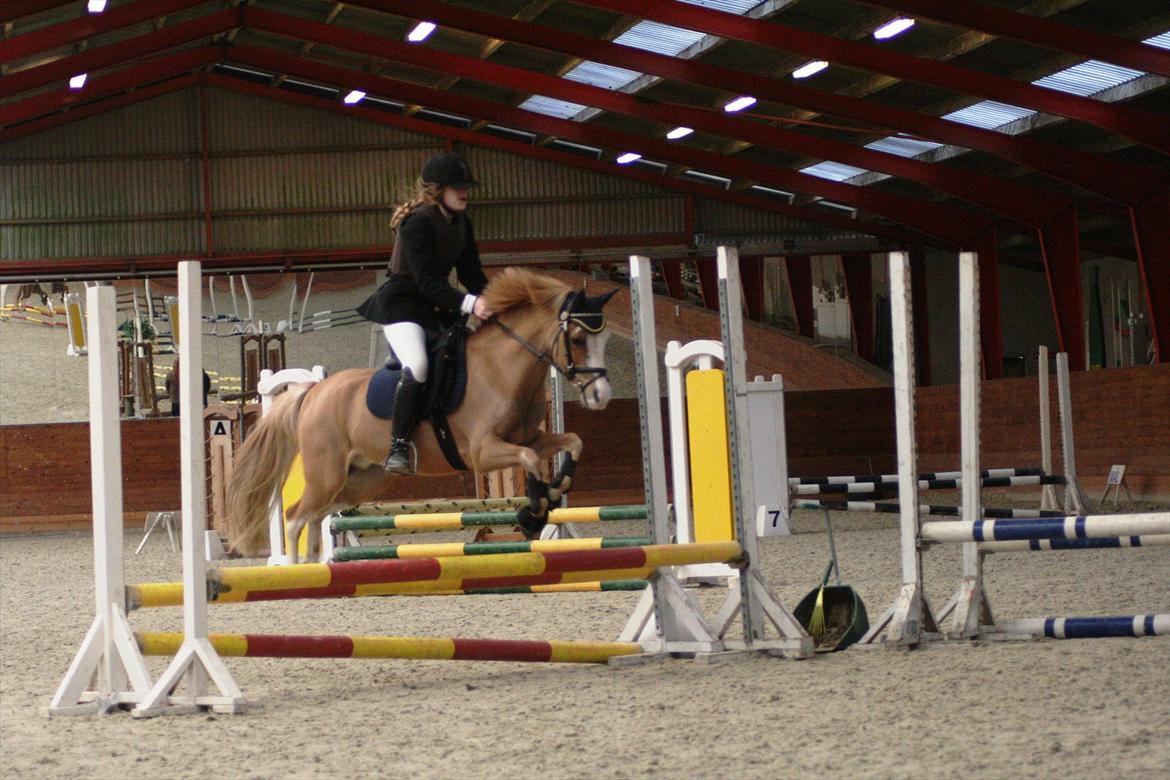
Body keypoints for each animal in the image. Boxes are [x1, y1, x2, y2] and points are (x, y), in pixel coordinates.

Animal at [222, 268, 617, 561]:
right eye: (577, 339)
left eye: (605, 340)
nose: (601, 396)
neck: (501, 368)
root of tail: (314, 391)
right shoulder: (483, 451)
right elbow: (530, 459)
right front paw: (532, 514)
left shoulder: (530, 436)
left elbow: (572, 443)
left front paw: (555, 490)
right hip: (326, 474)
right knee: (295, 517)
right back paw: (297, 571)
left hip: (360, 481)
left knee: (316, 516)